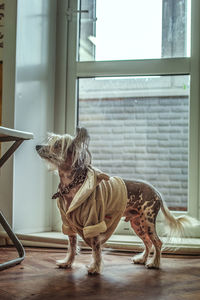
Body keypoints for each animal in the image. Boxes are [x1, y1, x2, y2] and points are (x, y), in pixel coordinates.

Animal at [36, 126, 195, 274]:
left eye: (57, 145)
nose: (37, 146)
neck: (72, 186)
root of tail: (156, 192)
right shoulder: (69, 225)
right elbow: (72, 246)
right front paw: (67, 262)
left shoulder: (94, 223)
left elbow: (96, 249)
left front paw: (95, 267)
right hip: (138, 224)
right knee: (148, 243)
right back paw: (142, 259)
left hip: (148, 222)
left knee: (157, 242)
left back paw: (154, 263)